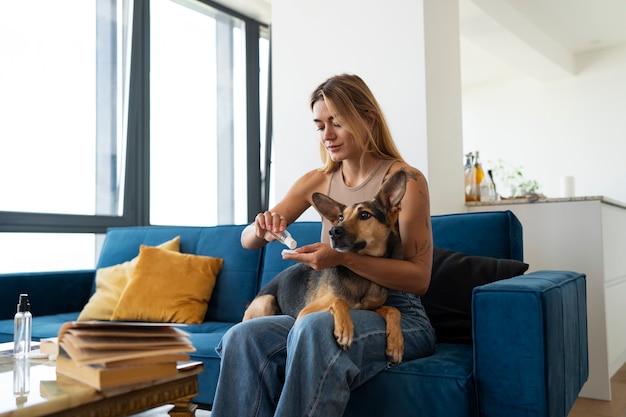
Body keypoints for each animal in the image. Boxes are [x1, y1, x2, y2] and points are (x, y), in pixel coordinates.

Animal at [241, 167, 408, 362]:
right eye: (341, 217)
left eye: (364, 215)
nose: (333, 231)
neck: (360, 274)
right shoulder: (306, 312)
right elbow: (338, 300)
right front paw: (345, 328)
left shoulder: (371, 308)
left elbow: (394, 310)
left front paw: (396, 344)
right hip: (266, 301)